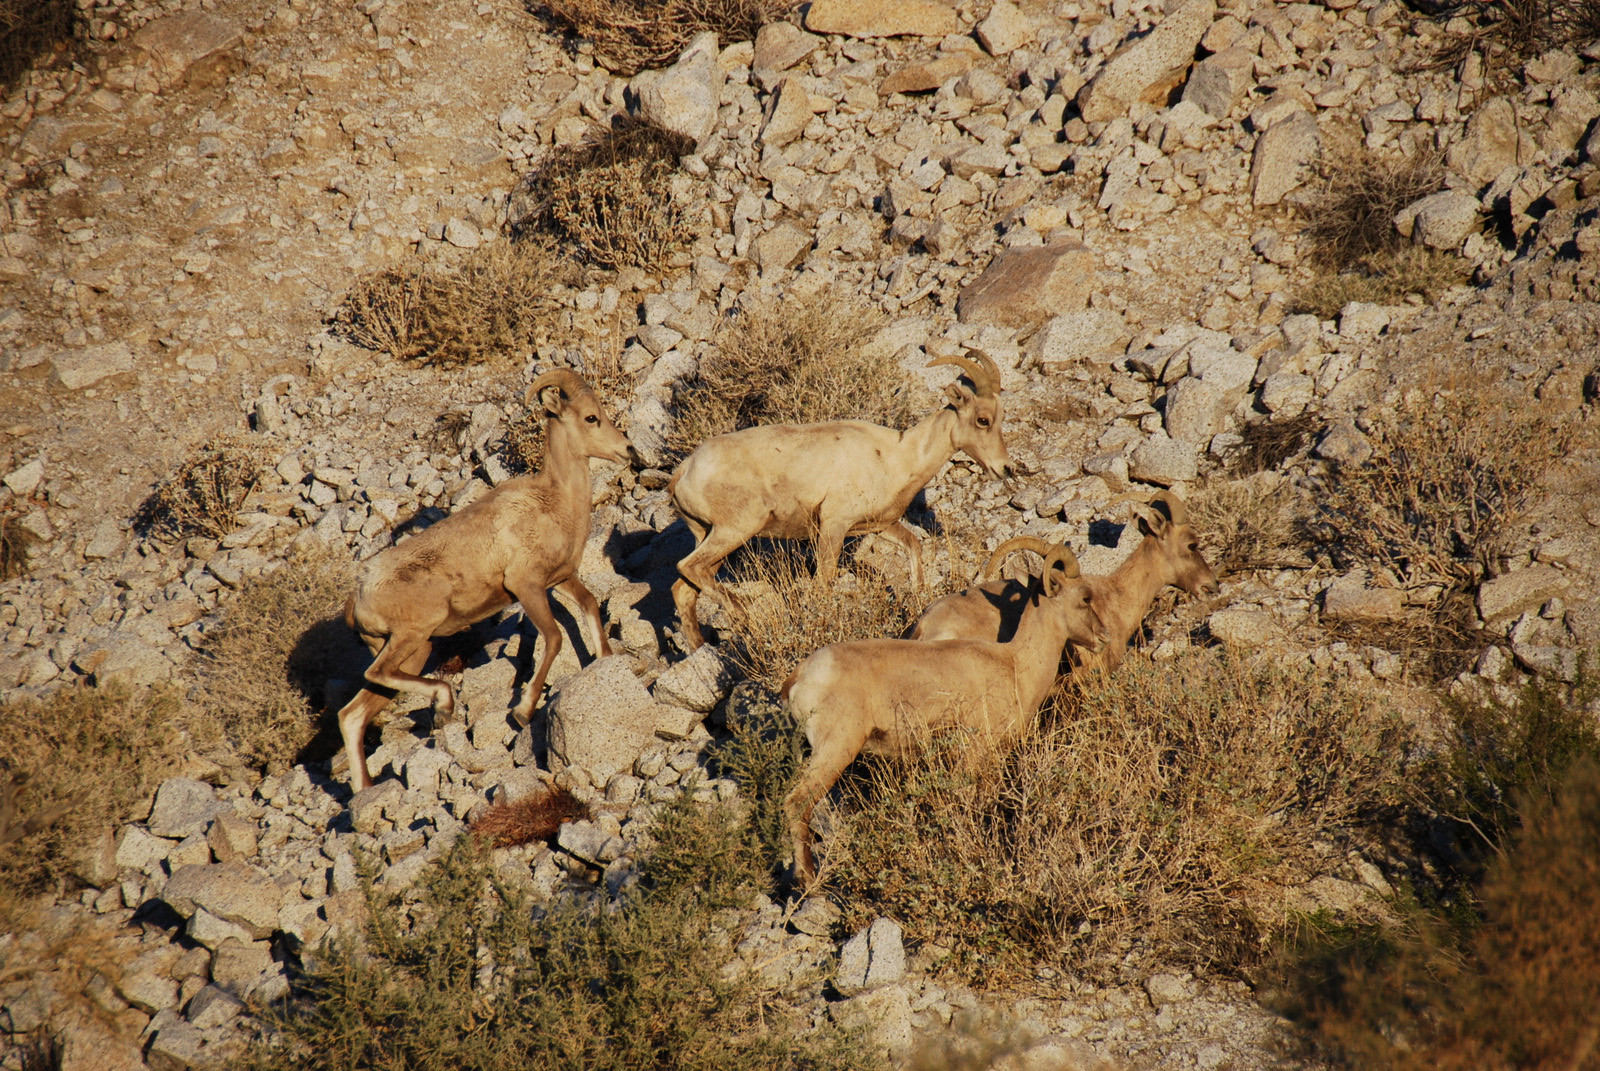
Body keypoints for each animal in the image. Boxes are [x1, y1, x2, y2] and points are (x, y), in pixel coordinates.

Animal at [336, 369, 637, 792]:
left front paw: (605, 662)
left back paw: (364, 790)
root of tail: (359, 595)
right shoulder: (528, 588)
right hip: (412, 637)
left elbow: (590, 606)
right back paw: (444, 707)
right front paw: (523, 711)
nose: (628, 450)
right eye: (591, 418)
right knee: (374, 677)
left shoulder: (560, 580)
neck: (555, 503)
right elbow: (554, 637)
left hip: (414, 654)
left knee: (353, 715)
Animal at [668, 351, 1014, 650]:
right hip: (736, 530)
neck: (896, 456)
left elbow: (913, 546)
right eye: (983, 420)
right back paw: (742, 614)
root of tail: (684, 472)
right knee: (688, 567)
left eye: (1000, 418)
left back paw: (699, 647)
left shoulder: (878, 525)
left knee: (684, 587)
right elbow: (824, 583)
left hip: (710, 536)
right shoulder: (833, 526)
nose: (1005, 468)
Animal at [781, 541, 1106, 883]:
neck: (1015, 664)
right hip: (835, 749)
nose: (1103, 636)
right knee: (796, 802)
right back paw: (807, 877)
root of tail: (799, 678)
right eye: (1085, 597)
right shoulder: (977, 752)